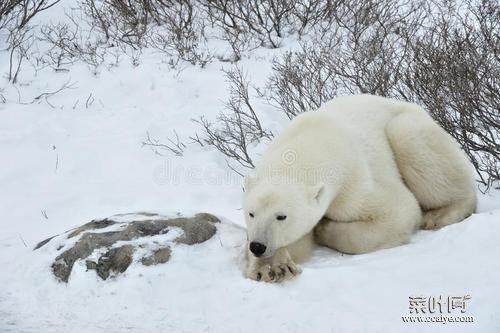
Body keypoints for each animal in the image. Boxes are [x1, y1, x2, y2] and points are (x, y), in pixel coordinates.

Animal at [244, 94, 478, 282]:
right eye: (251, 213)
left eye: (281, 216)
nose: (258, 246)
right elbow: (298, 241)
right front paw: (271, 267)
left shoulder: (354, 181)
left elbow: (398, 210)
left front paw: (324, 228)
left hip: (410, 129)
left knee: (410, 139)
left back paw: (439, 215)